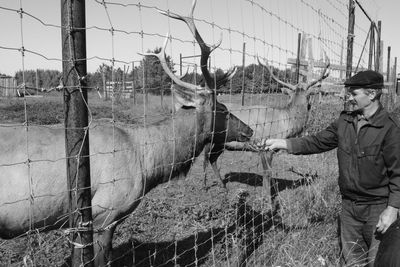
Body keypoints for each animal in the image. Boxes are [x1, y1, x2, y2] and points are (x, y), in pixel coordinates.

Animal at [205, 56, 330, 195]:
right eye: (309, 95)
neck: (285, 124)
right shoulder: (264, 146)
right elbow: (267, 172)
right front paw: (266, 196)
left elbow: (269, 172)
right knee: (205, 157)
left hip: (221, 143)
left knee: (212, 158)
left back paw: (223, 186)